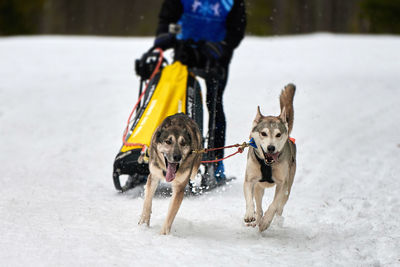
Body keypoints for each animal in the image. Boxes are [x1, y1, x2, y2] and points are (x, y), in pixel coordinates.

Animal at [242, 84, 296, 232]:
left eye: (278, 134)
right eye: (263, 133)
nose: (271, 148)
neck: (267, 165)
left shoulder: (282, 184)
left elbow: (274, 205)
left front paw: (266, 221)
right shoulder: (250, 180)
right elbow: (250, 200)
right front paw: (250, 214)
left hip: (288, 189)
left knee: (279, 208)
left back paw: (273, 221)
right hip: (259, 187)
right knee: (259, 206)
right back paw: (257, 219)